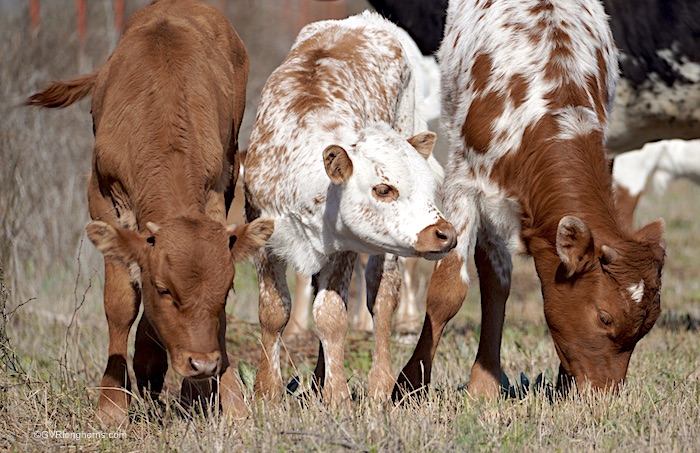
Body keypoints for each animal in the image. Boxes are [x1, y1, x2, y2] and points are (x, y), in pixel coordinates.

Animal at [28, 0, 274, 424]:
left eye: (226, 289)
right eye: (165, 289)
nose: (203, 364)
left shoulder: (216, 192)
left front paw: (220, 395)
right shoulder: (103, 200)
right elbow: (120, 302)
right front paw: (111, 403)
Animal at [246, 10, 460, 404]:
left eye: (427, 189)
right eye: (383, 188)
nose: (445, 234)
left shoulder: (345, 249)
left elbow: (331, 315)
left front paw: (338, 394)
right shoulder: (265, 237)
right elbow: (273, 311)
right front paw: (267, 391)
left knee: (382, 298)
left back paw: (380, 385)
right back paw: (317, 380)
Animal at [396, 0, 664, 398]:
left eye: (646, 326)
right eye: (604, 317)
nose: (603, 395)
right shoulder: (465, 183)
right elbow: (450, 292)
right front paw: (409, 382)